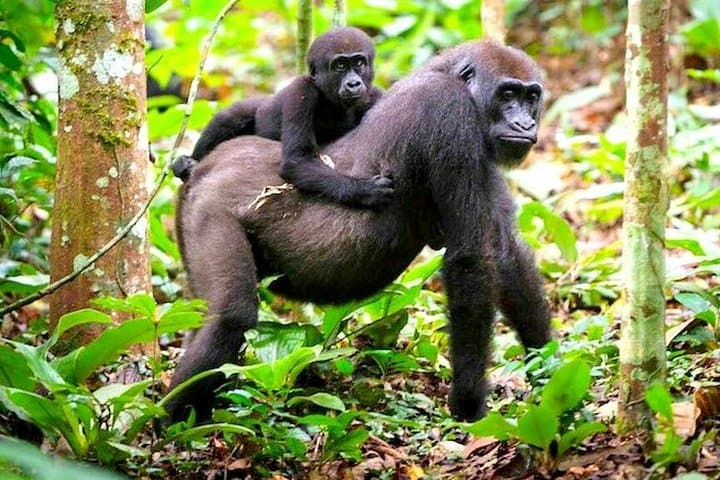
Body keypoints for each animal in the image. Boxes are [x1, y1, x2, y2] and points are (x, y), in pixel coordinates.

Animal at [172, 27, 392, 209]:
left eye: (359, 63)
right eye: (340, 66)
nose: (353, 84)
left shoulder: (374, 96)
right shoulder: (301, 91)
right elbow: (296, 162)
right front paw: (364, 190)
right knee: (231, 117)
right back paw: (186, 164)